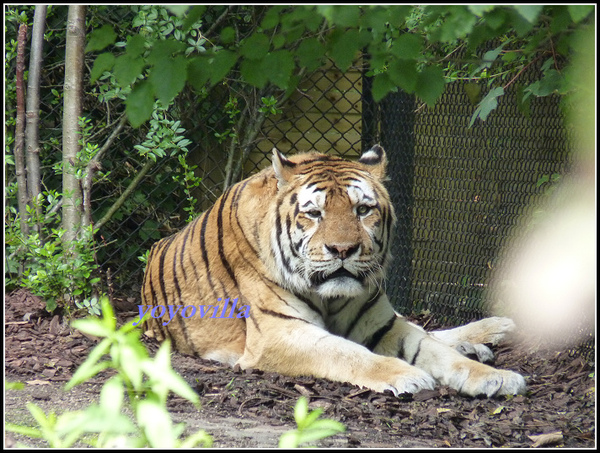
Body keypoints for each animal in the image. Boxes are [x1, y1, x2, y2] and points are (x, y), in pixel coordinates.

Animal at [141, 144, 524, 396]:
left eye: (363, 209)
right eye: (314, 214)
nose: (342, 250)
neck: (330, 297)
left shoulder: (383, 323)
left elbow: (431, 348)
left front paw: (495, 376)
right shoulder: (280, 333)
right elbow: (347, 352)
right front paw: (408, 376)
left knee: (429, 330)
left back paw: (493, 332)